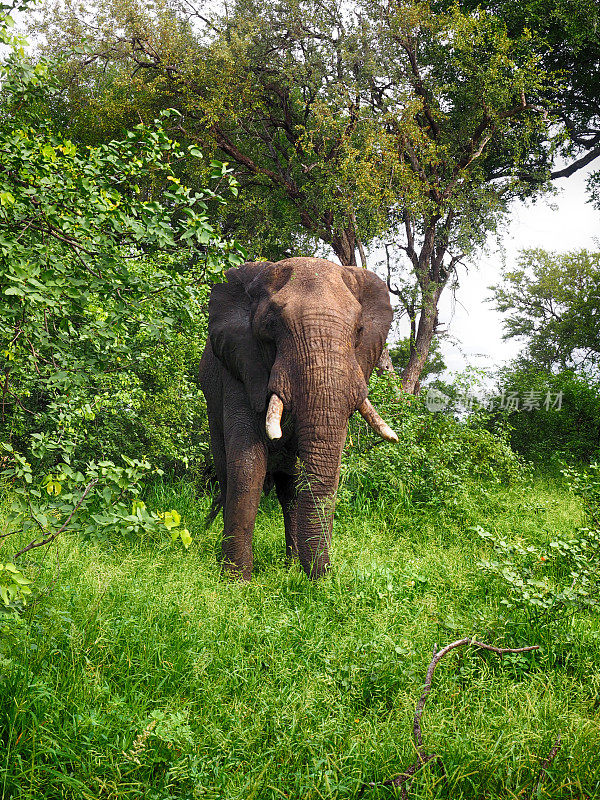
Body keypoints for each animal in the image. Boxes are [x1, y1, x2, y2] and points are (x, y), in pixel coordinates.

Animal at [199, 260, 400, 580]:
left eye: (359, 330)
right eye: (271, 326)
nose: (325, 579)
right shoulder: (241, 368)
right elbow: (247, 464)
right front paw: (235, 581)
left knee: (290, 489)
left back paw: (292, 567)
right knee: (229, 476)